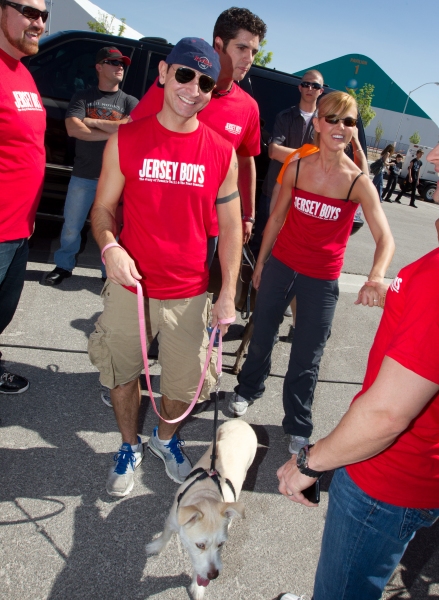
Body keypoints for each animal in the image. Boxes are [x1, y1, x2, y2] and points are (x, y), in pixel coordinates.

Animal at [147, 420, 258, 596]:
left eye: (221, 544)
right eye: (200, 545)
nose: (214, 575)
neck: (206, 494)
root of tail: (240, 422)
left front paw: (198, 588)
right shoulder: (172, 520)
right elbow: (165, 535)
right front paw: (155, 547)